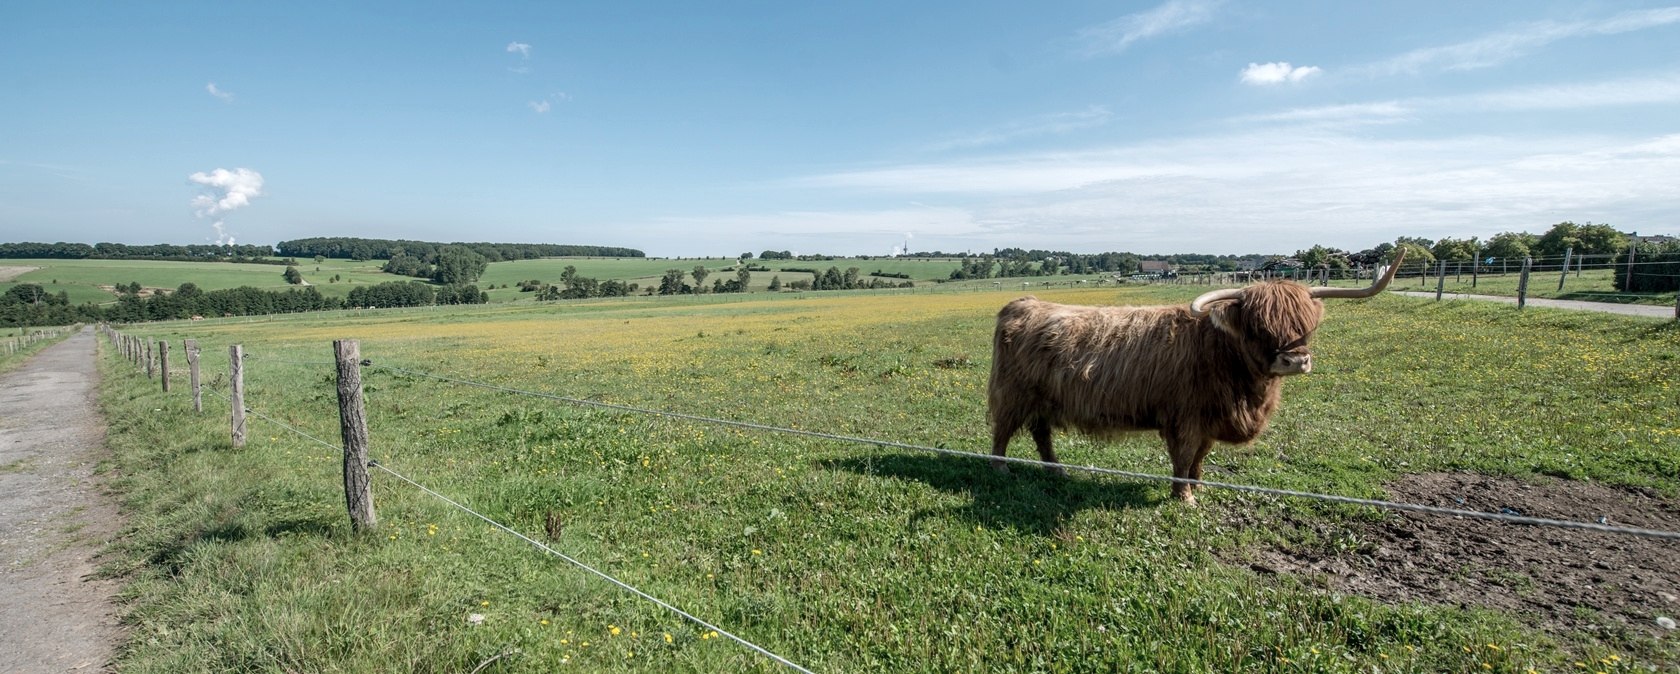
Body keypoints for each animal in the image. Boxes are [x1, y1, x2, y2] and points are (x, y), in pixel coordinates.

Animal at [981, 253, 1404, 504]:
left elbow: (1200, 457)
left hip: (1042, 400)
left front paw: (1198, 485)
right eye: (1258, 327)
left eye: (1307, 326)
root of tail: (1024, 303)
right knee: (1004, 430)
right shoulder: (1184, 418)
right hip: (1013, 393)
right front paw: (1183, 495)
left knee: (1041, 434)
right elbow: (1183, 456)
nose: (1295, 360)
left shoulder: (1210, 421)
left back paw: (1057, 469)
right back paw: (1000, 468)